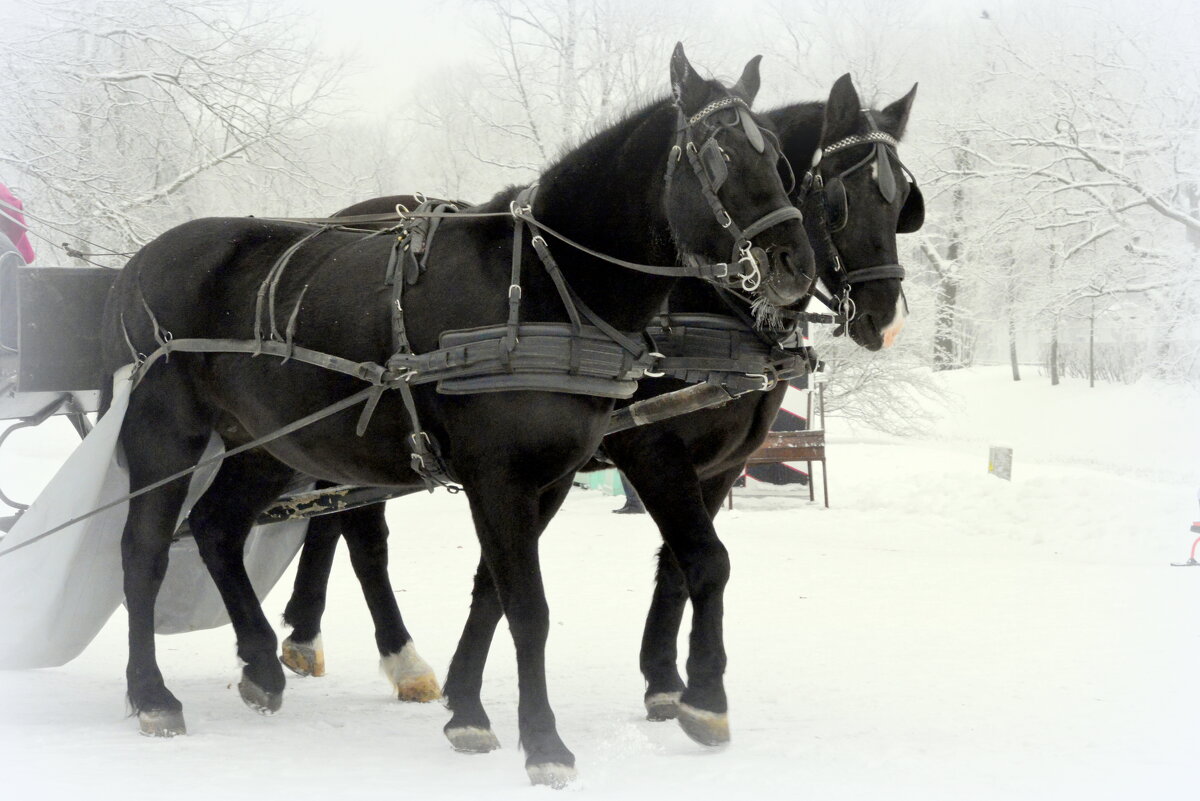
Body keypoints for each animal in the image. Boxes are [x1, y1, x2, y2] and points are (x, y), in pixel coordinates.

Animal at [103, 40, 811, 786]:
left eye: (779, 161)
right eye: (719, 157)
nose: (794, 263)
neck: (546, 290)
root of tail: (137, 263)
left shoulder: (551, 477)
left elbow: (495, 588)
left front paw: (470, 713)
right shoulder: (509, 474)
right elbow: (530, 606)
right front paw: (545, 741)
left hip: (268, 443)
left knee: (217, 528)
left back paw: (265, 665)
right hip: (165, 432)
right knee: (145, 550)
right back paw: (152, 692)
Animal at [276, 73, 921, 743]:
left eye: (904, 200)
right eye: (839, 195)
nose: (886, 319)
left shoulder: (716, 465)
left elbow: (673, 565)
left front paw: (664, 682)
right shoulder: (648, 448)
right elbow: (702, 559)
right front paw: (699, 697)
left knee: (330, 516)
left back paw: (307, 635)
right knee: (362, 535)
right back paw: (386, 655)